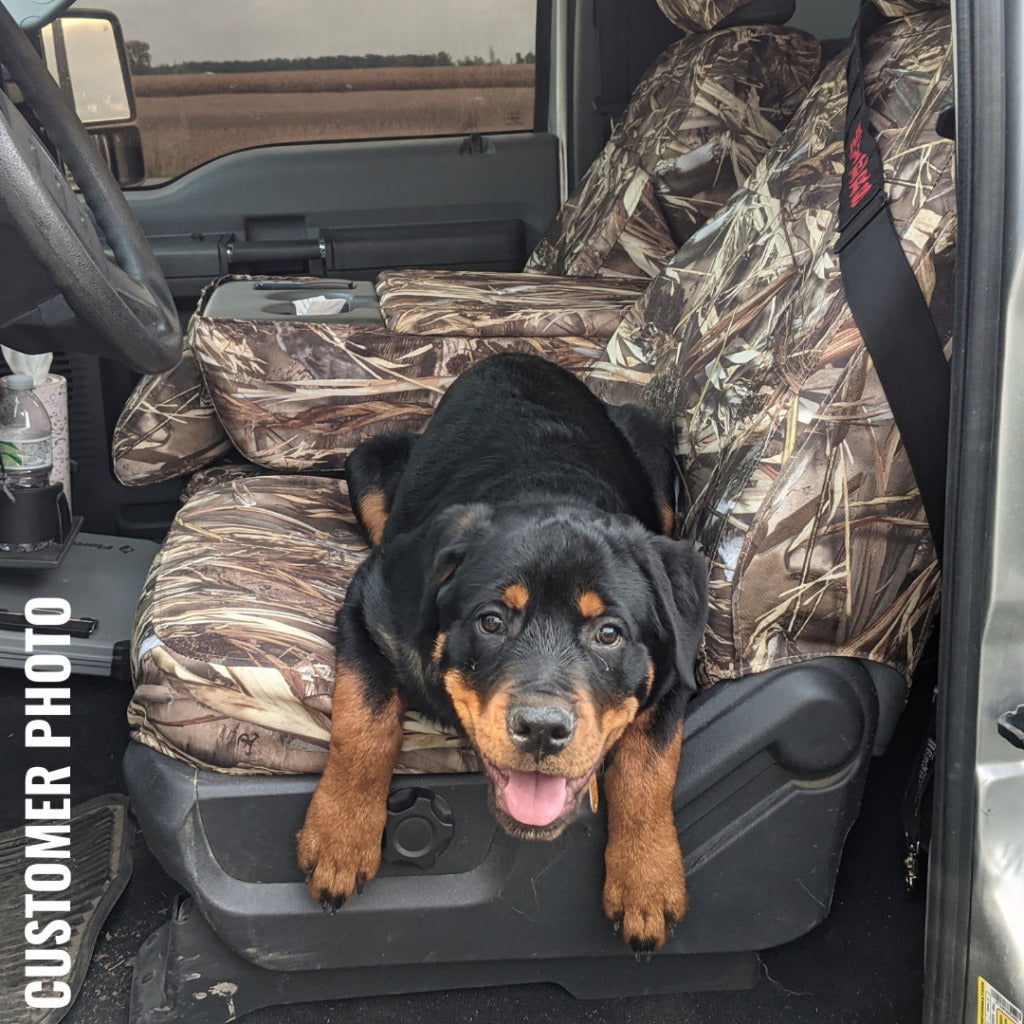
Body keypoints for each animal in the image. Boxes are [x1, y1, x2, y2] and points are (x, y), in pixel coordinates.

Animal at [299, 352, 704, 950]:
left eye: (609, 634)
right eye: (491, 622)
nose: (541, 729)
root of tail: (512, 355)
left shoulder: (675, 665)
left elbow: (650, 762)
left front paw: (647, 879)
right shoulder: (370, 606)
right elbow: (364, 719)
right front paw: (339, 836)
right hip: (369, 460)